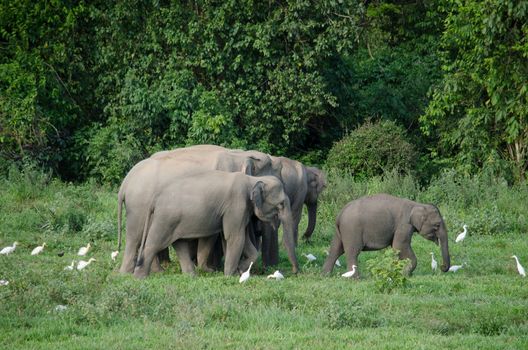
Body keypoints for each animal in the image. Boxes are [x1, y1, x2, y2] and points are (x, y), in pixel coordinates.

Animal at [118, 145, 284, 274]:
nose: (268, 269)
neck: (239, 154)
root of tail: (125, 183)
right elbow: (215, 235)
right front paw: (214, 269)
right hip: (139, 206)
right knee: (136, 237)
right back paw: (134, 272)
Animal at [132, 171, 296, 278]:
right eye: (281, 204)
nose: (295, 272)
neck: (252, 179)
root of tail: (154, 199)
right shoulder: (236, 205)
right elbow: (235, 237)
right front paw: (230, 275)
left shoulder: (240, 211)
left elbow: (240, 239)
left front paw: (240, 270)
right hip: (165, 219)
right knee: (153, 244)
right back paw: (139, 277)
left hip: (174, 221)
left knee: (179, 244)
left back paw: (192, 275)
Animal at [322, 193, 450, 278]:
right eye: (437, 225)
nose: (442, 267)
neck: (417, 204)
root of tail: (340, 212)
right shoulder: (404, 225)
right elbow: (399, 246)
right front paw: (406, 274)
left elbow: (397, 249)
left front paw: (400, 272)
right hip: (352, 230)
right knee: (352, 252)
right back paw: (355, 278)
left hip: (340, 232)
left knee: (335, 250)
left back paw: (325, 275)